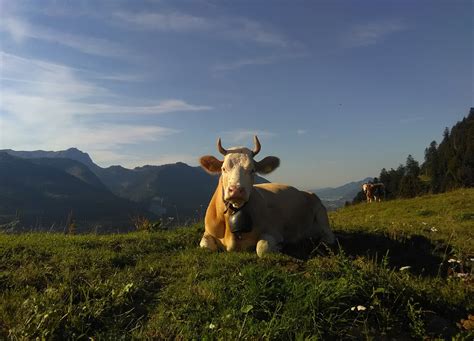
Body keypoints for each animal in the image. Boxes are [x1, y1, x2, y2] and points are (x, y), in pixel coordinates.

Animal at [198, 135, 336, 255]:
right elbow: (206, 246)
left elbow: (262, 248)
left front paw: (279, 246)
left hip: (320, 210)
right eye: (223, 168)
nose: (236, 190)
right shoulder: (207, 232)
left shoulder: (274, 231)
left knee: (329, 235)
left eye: (252, 170)